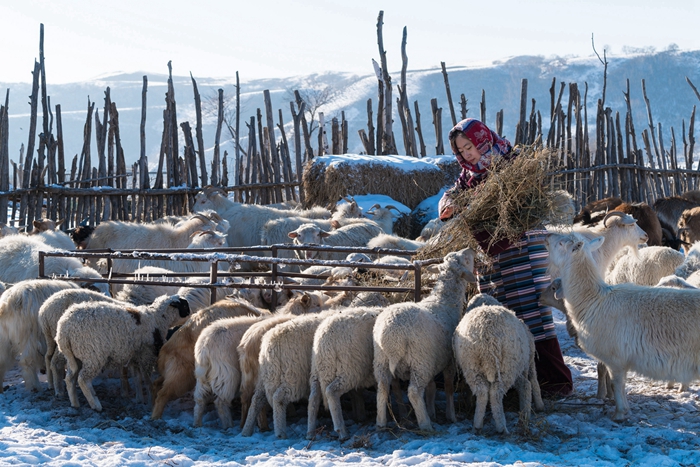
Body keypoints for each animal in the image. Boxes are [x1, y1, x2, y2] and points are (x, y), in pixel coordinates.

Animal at [57, 296, 191, 414]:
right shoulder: (147, 356)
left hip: (75, 356)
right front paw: (149, 402)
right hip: (93, 354)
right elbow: (147, 380)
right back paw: (96, 404)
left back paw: (75, 403)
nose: (191, 314)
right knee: (83, 379)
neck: (158, 319)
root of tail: (64, 329)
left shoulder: (135, 357)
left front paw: (139, 399)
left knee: (70, 378)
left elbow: (137, 379)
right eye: (184, 305)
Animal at [372, 249, 476, 432]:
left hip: (381, 360)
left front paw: (432, 410)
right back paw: (425, 424)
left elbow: (431, 387)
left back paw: (381, 422)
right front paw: (451, 415)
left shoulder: (434, 359)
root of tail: (391, 336)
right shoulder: (449, 360)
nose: (471, 249)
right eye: (466, 259)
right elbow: (448, 387)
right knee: (413, 392)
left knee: (382, 389)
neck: (444, 302)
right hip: (420, 361)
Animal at [452, 296, 544, 436]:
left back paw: (478, 425)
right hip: (508, 365)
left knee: (483, 391)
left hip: (473, 365)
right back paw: (505, 425)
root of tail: (488, 339)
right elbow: (532, 380)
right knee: (506, 390)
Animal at [548, 233, 700, 420]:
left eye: (561, 243)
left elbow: (617, 384)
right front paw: (624, 409)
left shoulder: (615, 358)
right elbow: (620, 385)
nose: (547, 237)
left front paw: (619, 413)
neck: (592, 300)